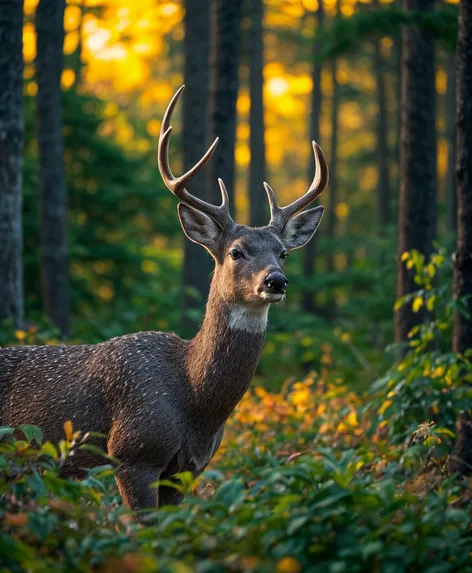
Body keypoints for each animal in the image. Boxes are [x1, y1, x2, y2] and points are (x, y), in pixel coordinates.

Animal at [0, 86, 328, 510]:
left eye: (283, 253)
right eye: (236, 252)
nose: (276, 281)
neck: (195, 399)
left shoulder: (186, 470)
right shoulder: (133, 453)